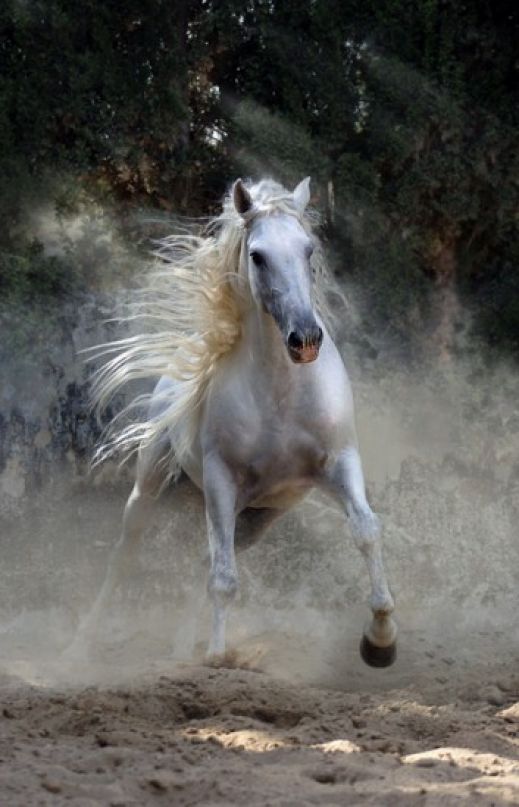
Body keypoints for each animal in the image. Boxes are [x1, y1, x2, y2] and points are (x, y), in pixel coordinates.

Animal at [69, 177, 397, 667]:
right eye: (257, 255)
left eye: (309, 250)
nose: (305, 340)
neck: (282, 394)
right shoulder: (222, 478)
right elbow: (224, 581)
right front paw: (219, 657)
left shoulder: (338, 462)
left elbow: (366, 531)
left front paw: (380, 641)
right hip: (153, 487)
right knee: (128, 554)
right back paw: (82, 646)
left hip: (256, 518)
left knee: (208, 560)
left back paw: (180, 650)